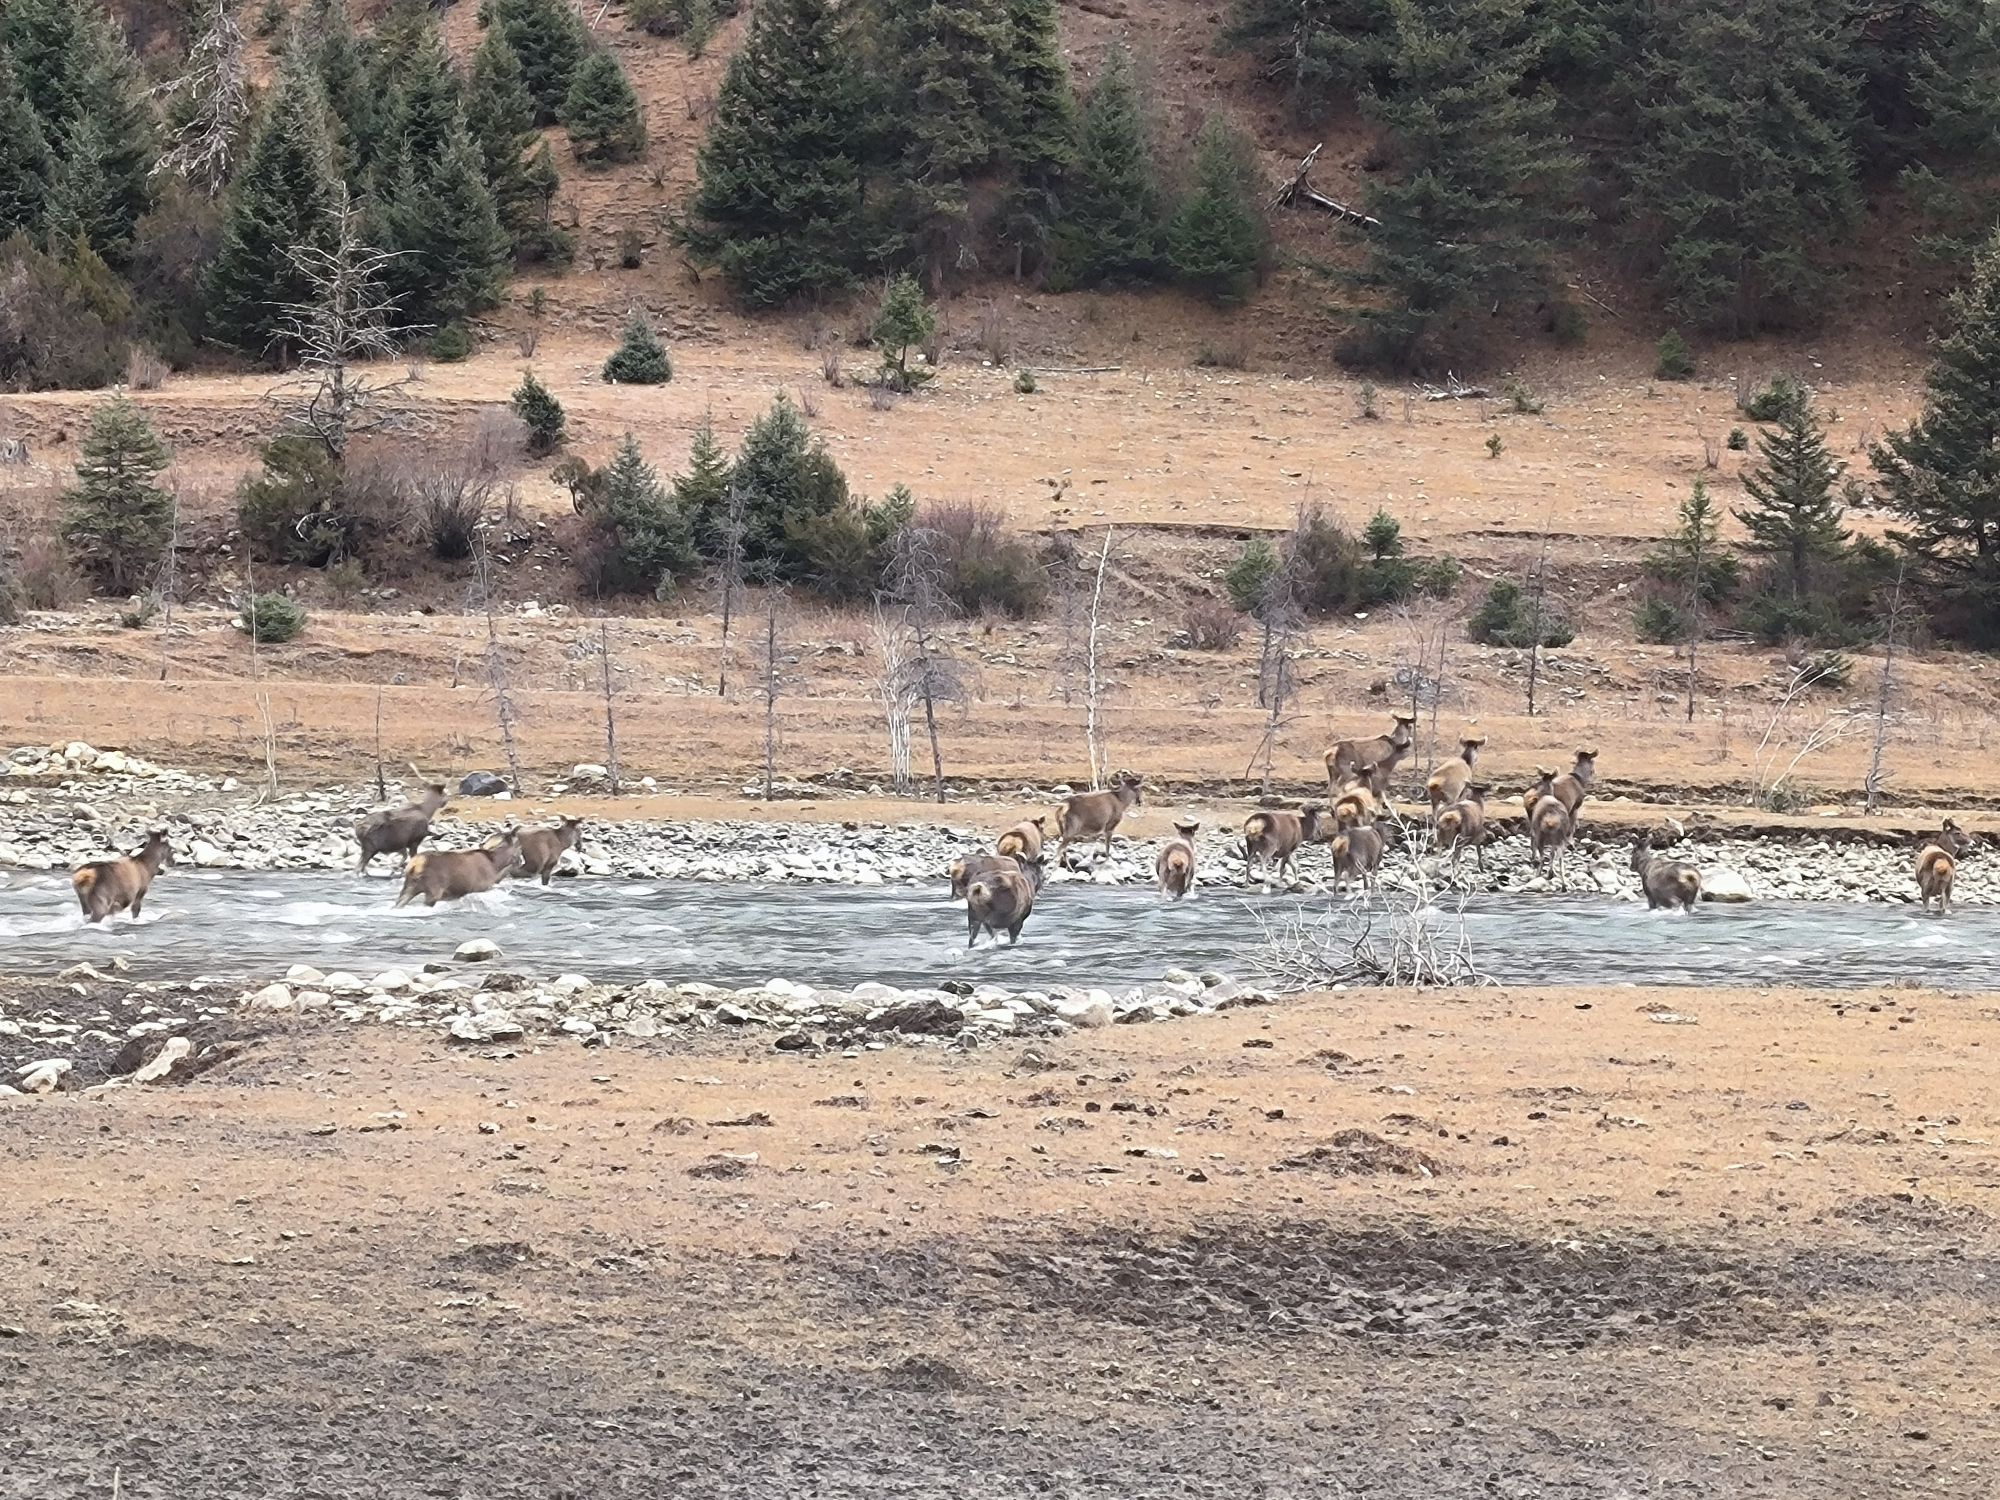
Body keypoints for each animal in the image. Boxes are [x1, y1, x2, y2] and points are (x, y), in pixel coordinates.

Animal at [395, 830, 523, 908]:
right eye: (520, 846)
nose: (521, 861)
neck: (496, 865)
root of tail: (415, 865)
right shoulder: (481, 887)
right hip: (433, 890)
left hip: (409, 887)